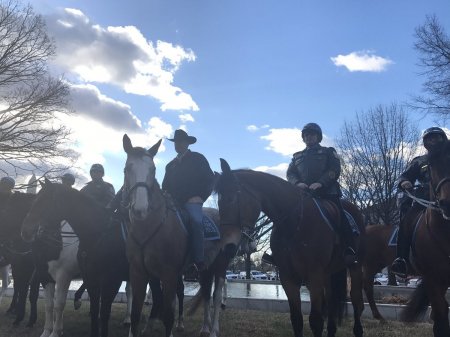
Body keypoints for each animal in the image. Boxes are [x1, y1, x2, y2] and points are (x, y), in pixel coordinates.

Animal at [21, 181, 129, 336]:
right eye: (33, 202)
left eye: (45, 201)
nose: (26, 231)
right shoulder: (45, 276)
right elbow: (49, 305)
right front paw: (47, 331)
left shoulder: (63, 276)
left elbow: (59, 304)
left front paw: (56, 331)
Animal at [214, 159, 366, 336]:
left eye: (231, 198)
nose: (226, 246)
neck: (294, 222)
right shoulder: (288, 277)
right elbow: (296, 319)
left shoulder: (314, 275)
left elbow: (316, 320)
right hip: (328, 273)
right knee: (332, 304)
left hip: (355, 267)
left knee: (356, 301)